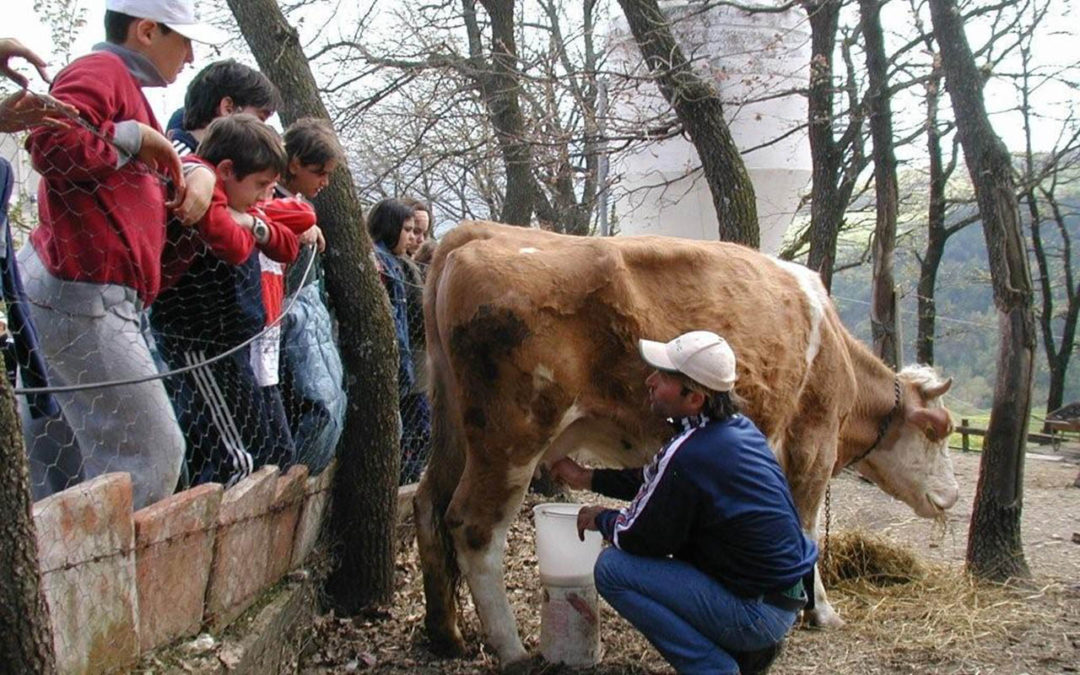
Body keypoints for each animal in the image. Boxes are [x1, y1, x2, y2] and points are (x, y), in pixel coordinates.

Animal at [414, 222, 963, 665]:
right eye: (937, 430)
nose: (953, 495)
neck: (833, 346)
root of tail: (479, 233)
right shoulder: (814, 439)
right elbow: (807, 530)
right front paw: (822, 612)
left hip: (456, 428)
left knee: (428, 503)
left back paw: (446, 634)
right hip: (513, 434)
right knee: (473, 525)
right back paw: (511, 650)